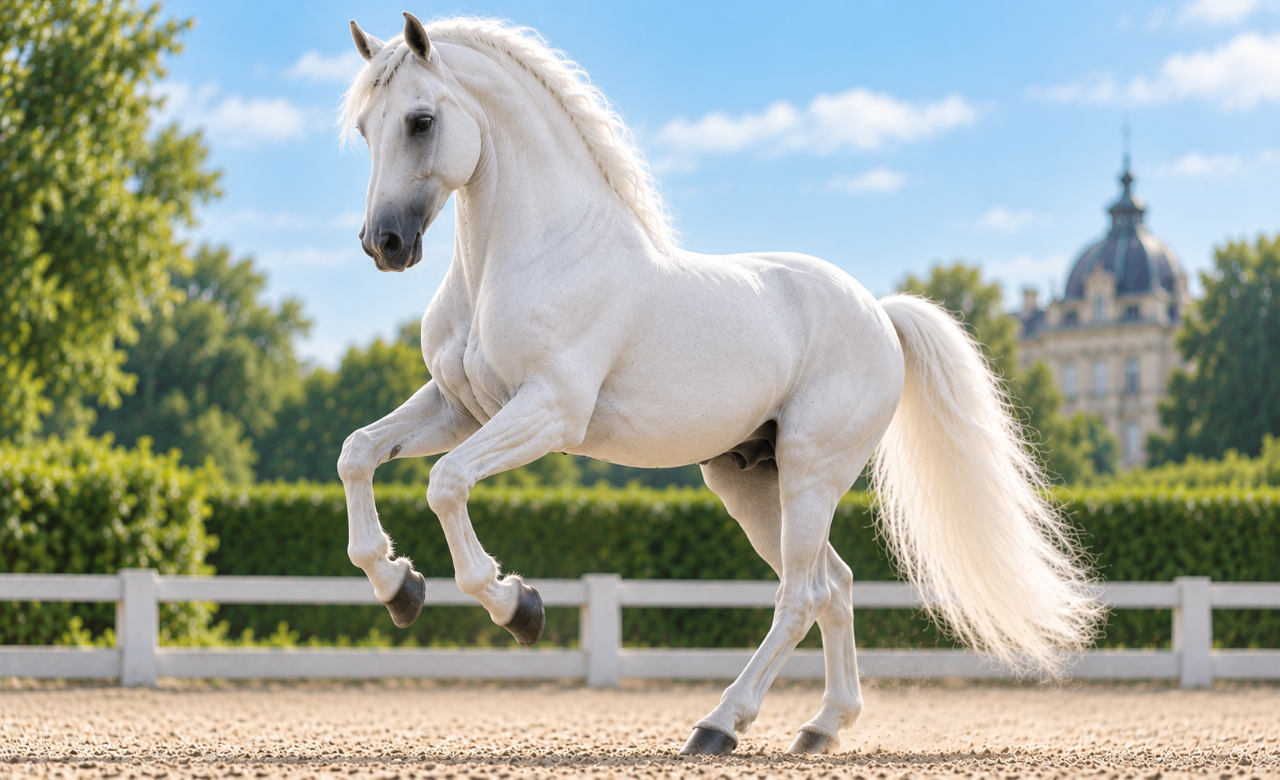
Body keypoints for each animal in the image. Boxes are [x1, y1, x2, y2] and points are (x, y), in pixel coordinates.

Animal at [335, 13, 1101, 756]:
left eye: (421, 121)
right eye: (366, 127)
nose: (384, 245)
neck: (526, 257)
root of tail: (880, 314)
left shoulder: (549, 412)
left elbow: (446, 484)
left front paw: (517, 606)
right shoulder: (459, 408)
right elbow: (358, 453)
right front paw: (399, 588)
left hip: (811, 473)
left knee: (799, 596)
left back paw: (718, 726)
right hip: (752, 482)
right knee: (835, 586)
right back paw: (821, 727)